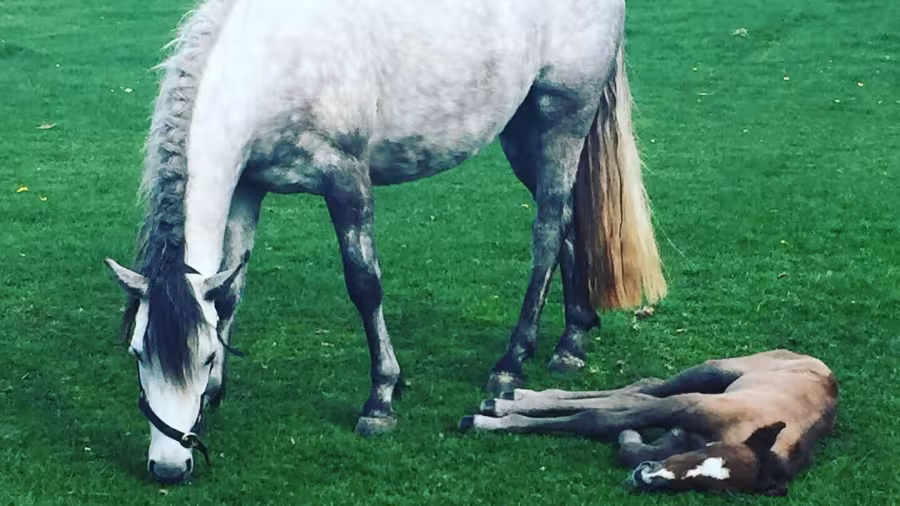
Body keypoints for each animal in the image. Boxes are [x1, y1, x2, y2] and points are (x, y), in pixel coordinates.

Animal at [104, 0, 667, 483]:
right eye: (137, 353)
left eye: (199, 358)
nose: (169, 468)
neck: (276, 59)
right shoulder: (248, 186)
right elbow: (231, 291)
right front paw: (218, 393)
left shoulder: (347, 181)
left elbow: (364, 286)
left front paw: (381, 400)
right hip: (522, 131)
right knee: (568, 222)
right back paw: (572, 340)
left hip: (561, 120)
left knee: (548, 232)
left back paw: (510, 364)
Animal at [460, 349, 839, 496]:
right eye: (707, 454)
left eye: (709, 487)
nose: (646, 478)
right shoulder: (686, 408)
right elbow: (594, 419)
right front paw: (488, 422)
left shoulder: (677, 434)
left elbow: (627, 440)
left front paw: (629, 439)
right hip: (711, 374)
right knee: (646, 389)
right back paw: (503, 401)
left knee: (639, 391)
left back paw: (508, 399)